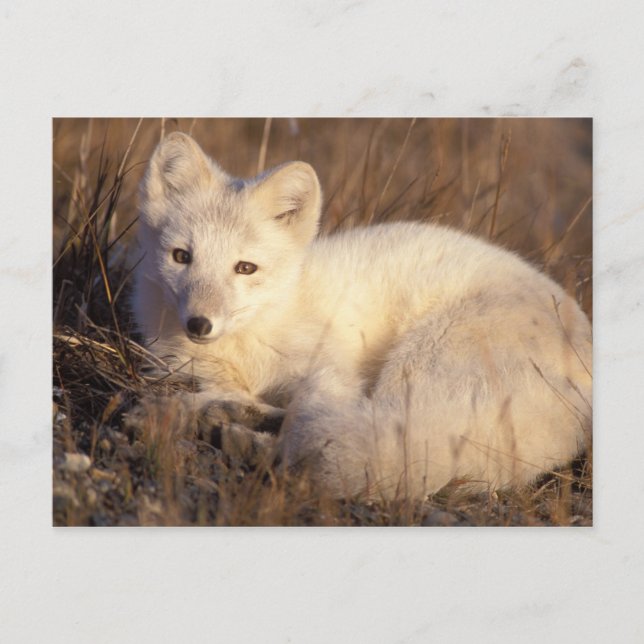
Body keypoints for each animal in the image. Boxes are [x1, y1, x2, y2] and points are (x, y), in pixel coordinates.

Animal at [131, 132, 592, 501]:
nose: (199, 324)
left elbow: (309, 411)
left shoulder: (331, 371)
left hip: (418, 362)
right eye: (181, 257)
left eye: (245, 268)